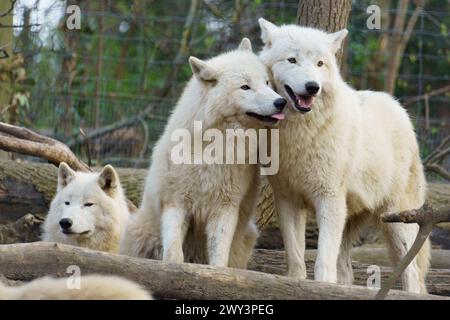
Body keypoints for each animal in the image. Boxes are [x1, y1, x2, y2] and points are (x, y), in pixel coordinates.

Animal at [121, 38, 286, 268]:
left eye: (267, 83)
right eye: (245, 87)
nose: (281, 102)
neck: (214, 146)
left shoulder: (225, 208)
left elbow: (218, 258)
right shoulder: (175, 203)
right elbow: (173, 253)